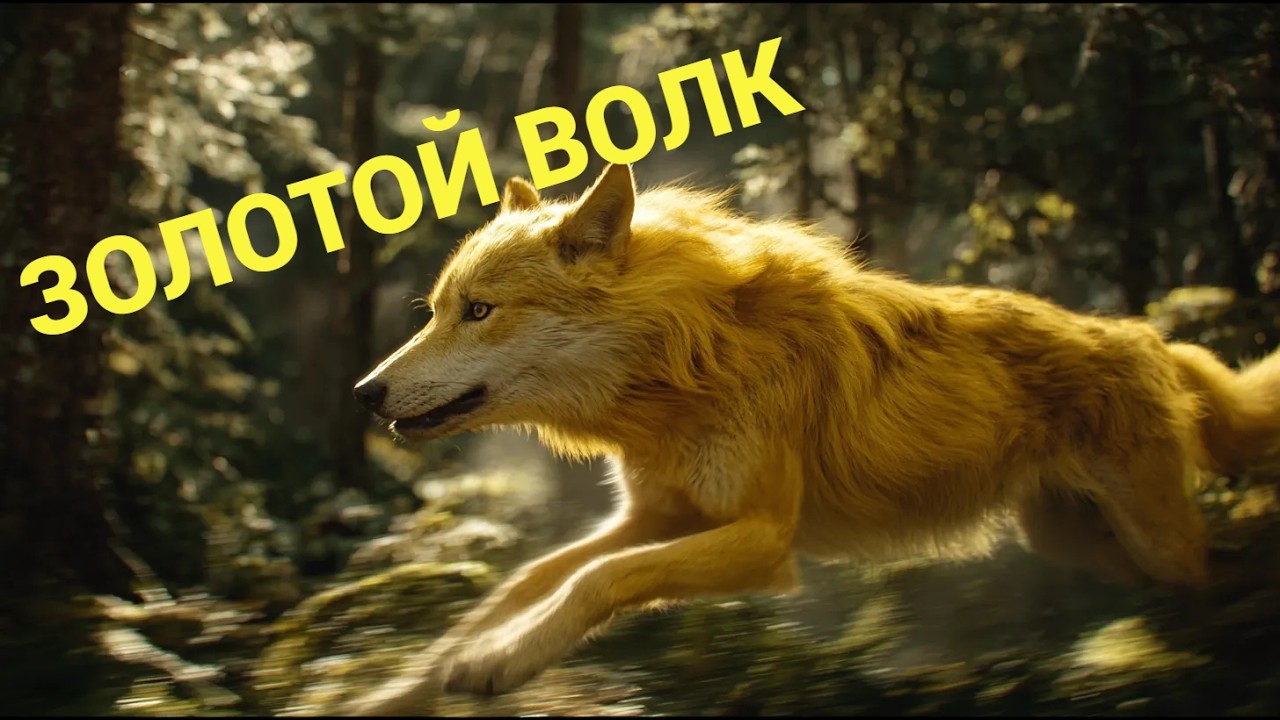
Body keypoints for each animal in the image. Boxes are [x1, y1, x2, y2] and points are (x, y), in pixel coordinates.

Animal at [342, 161, 1280, 714]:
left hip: (1147, 541)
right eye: (435, 310)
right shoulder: (656, 516)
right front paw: (409, 684)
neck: (682, 365)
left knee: (1222, 566)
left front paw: (499, 665)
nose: (365, 391)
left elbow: (597, 582)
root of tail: (1151, 338)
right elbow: (531, 580)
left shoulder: (762, 539)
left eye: (479, 311)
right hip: (1080, 542)